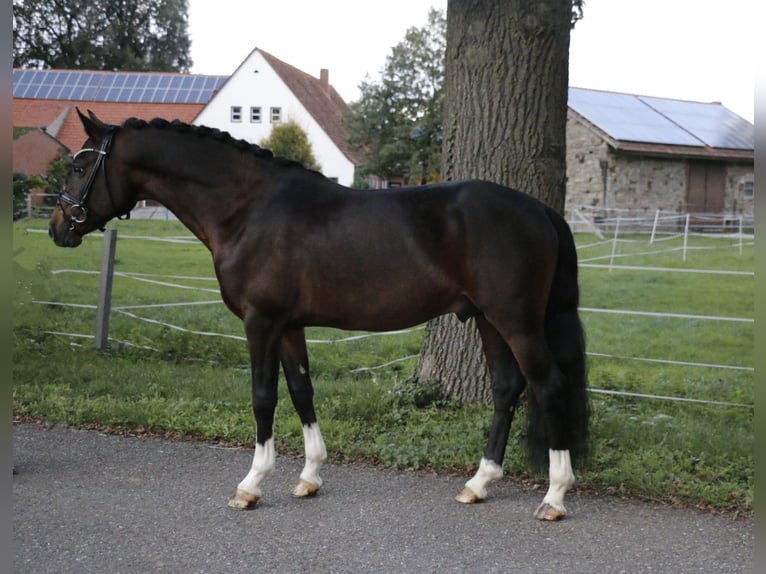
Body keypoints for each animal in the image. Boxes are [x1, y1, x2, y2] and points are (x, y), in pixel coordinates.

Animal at [49, 111, 588, 520]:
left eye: (80, 165)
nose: (58, 227)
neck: (247, 208)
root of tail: (540, 211)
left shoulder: (261, 322)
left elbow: (263, 398)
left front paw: (251, 485)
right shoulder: (289, 326)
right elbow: (301, 391)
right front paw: (309, 476)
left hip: (516, 321)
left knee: (548, 386)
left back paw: (554, 496)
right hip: (487, 319)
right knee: (507, 389)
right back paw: (479, 483)